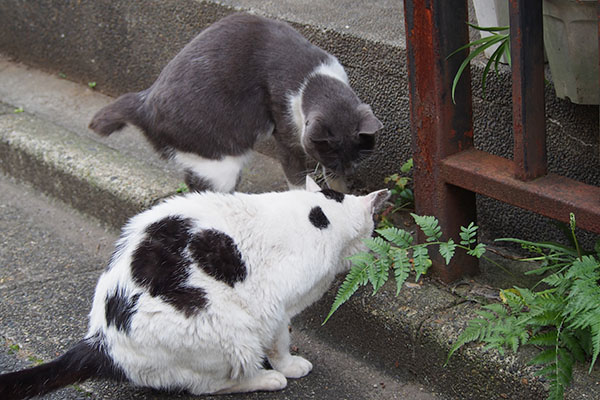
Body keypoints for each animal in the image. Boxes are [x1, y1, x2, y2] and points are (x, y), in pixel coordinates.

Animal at [0, 178, 390, 396]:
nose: (376, 244)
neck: (320, 216)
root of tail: (101, 340)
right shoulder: (276, 304)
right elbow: (279, 340)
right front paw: (288, 365)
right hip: (227, 329)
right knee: (208, 386)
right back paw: (264, 379)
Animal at [89, 12, 382, 194]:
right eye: (332, 157)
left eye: (357, 158)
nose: (347, 169)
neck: (313, 78)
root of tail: (143, 101)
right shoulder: (287, 133)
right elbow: (296, 176)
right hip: (219, 164)